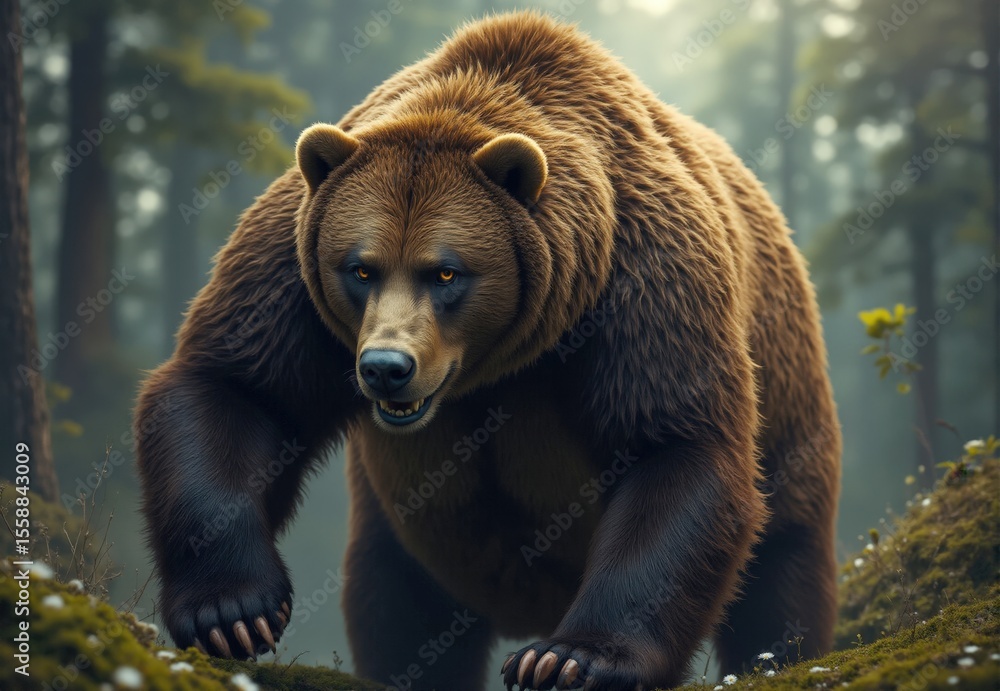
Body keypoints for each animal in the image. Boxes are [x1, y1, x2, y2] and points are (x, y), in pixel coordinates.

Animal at [135, 11, 841, 691]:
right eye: (360, 267)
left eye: (445, 272)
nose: (385, 368)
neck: (507, 358)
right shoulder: (294, 267)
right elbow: (238, 386)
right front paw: (233, 612)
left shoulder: (643, 280)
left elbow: (674, 443)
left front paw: (568, 660)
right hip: (404, 529)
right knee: (396, 605)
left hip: (789, 393)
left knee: (783, 565)